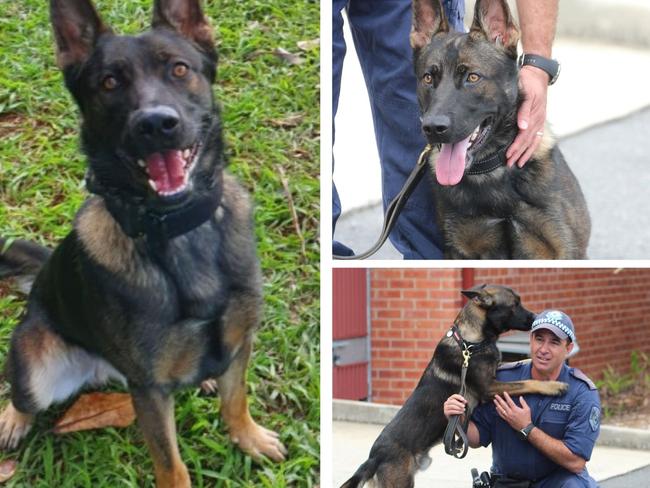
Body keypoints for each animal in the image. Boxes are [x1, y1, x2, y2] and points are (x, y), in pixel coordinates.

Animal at [0, 1, 284, 486]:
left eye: (179, 69)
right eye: (109, 83)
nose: (155, 124)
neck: (178, 230)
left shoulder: (239, 342)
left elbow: (236, 399)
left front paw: (248, 436)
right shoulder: (149, 390)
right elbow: (171, 463)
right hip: (37, 365)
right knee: (20, 393)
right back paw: (12, 419)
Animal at [340, 284, 568, 486]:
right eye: (515, 304)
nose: (537, 317)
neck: (471, 342)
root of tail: (372, 458)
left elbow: (518, 363)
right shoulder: (489, 388)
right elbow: (527, 381)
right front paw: (555, 386)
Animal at [412, 0, 588, 260]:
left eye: (473, 77)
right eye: (427, 78)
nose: (433, 128)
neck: (492, 172)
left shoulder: (566, 252)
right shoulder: (459, 251)